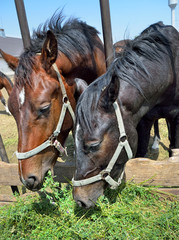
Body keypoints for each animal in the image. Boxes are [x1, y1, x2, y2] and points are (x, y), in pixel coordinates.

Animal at [72, 21, 179, 207]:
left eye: (93, 145)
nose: (80, 200)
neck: (169, 68)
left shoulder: (177, 116)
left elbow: (175, 146)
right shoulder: (144, 120)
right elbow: (141, 155)